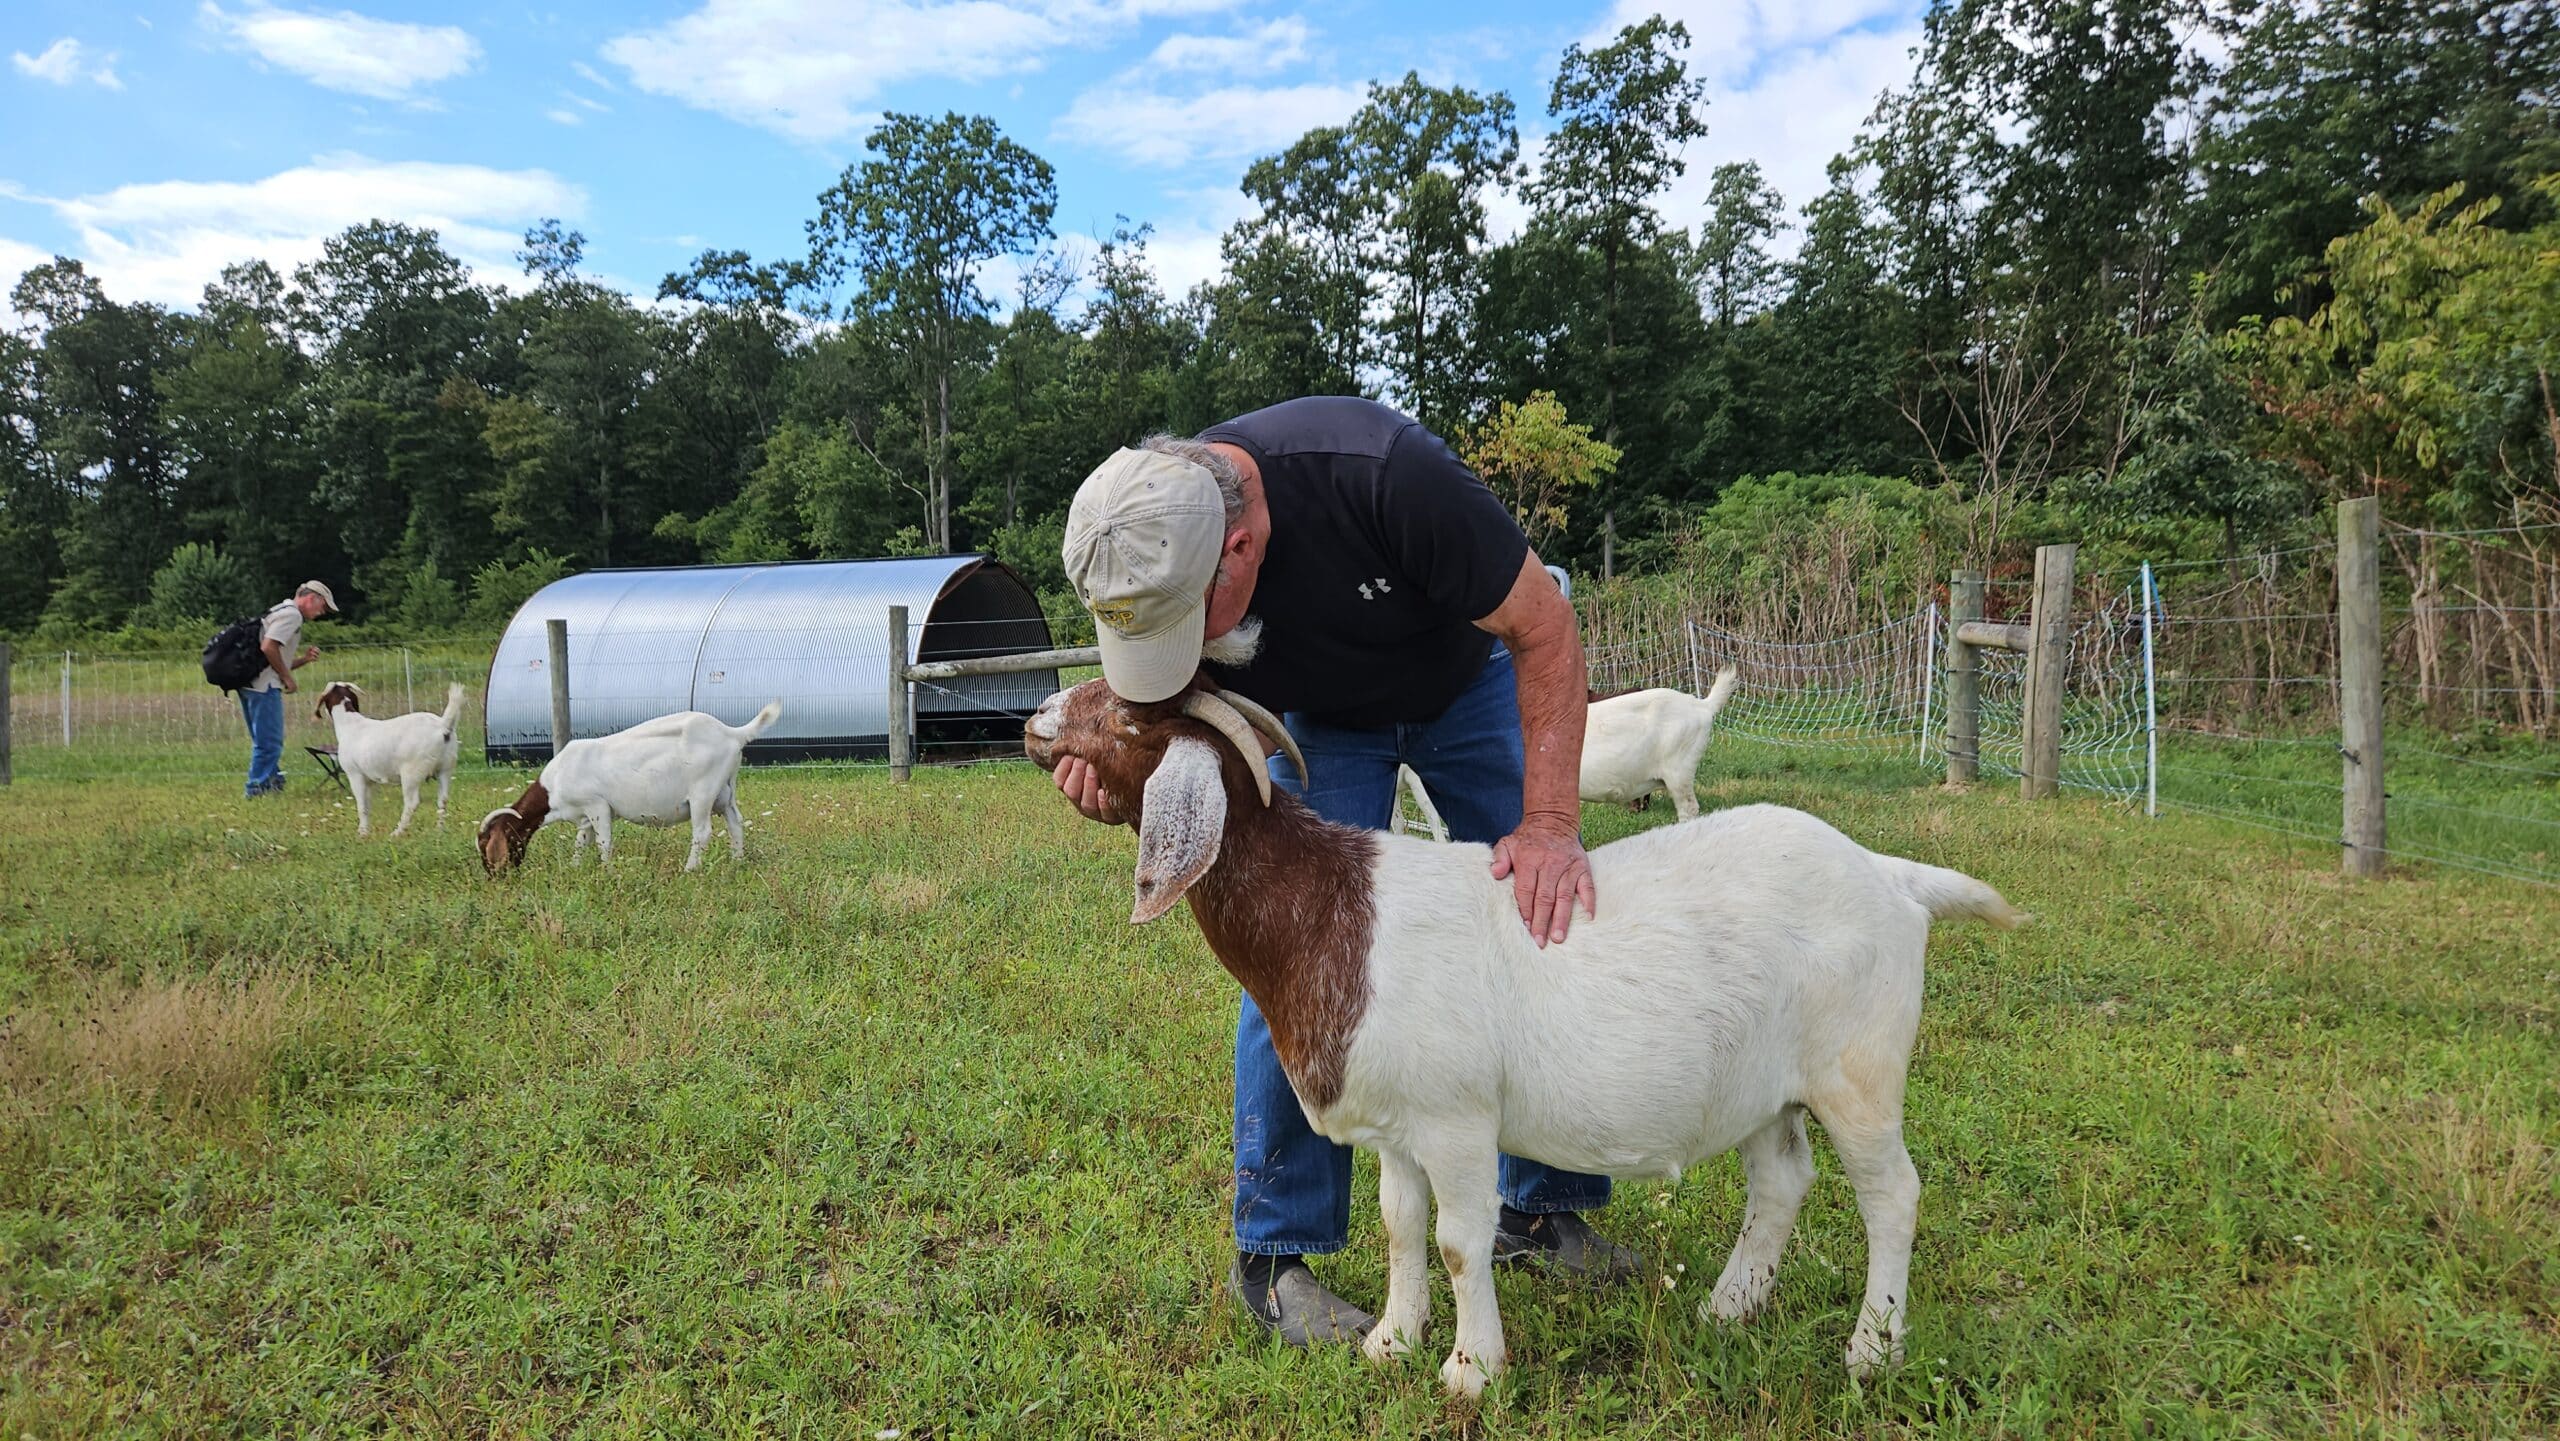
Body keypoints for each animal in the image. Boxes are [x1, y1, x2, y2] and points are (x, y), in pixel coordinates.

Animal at [313, 681, 465, 837]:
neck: (350, 724)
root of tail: (443, 725)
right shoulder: (369, 780)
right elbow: (368, 805)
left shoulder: (355, 774)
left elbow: (362, 805)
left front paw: (362, 833)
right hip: (445, 769)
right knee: (443, 800)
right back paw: (439, 831)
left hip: (411, 772)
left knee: (412, 802)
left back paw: (397, 832)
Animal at [477, 701, 782, 874]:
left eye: (488, 844)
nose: (494, 876)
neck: (553, 787)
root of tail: (731, 732)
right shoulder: (585, 815)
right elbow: (581, 842)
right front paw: (575, 868)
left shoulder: (597, 805)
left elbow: (603, 842)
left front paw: (608, 872)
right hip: (725, 792)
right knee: (736, 823)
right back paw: (737, 861)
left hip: (702, 792)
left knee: (702, 832)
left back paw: (689, 869)